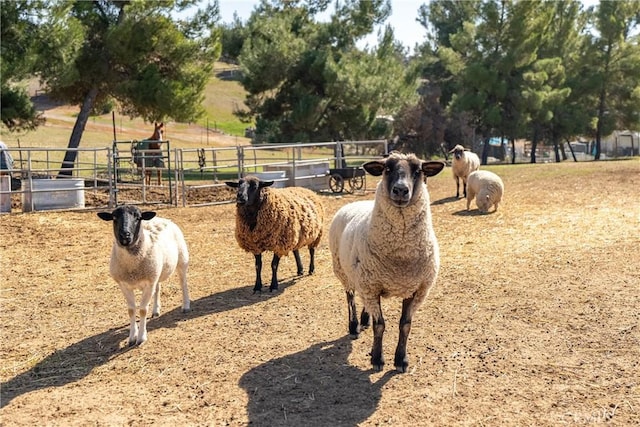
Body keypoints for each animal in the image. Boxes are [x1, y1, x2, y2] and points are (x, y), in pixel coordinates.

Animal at [95, 205, 190, 348]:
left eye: (138, 217)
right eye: (114, 217)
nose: (125, 235)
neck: (132, 268)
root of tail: (161, 218)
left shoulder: (148, 284)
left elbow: (142, 310)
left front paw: (141, 337)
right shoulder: (125, 285)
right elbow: (131, 310)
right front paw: (132, 337)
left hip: (182, 259)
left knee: (183, 283)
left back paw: (186, 306)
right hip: (157, 271)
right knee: (158, 288)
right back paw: (156, 310)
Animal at [330, 152, 444, 372]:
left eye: (418, 171)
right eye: (387, 169)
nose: (400, 189)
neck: (401, 257)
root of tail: (353, 203)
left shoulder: (415, 290)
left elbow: (405, 325)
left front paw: (401, 360)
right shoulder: (372, 287)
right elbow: (380, 325)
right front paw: (377, 359)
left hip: (363, 279)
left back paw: (364, 319)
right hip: (343, 271)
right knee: (350, 298)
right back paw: (354, 325)